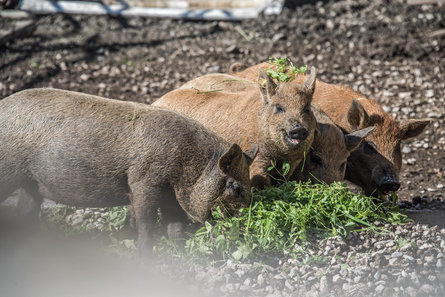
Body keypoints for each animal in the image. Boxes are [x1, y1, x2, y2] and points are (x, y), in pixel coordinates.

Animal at [0, 87, 258, 250]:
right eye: (235, 186)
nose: (247, 217)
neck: (186, 165)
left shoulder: (170, 197)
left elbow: (174, 226)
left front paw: (178, 252)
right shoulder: (143, 183)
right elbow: (146, 223)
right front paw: (143, 254)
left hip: (30, 184)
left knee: (26, 212)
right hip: (8, 174)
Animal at [151, 67, 318, 187]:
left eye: (307, 108)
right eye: (279, 108)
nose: (299, 129)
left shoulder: (293, 163)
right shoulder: (255, 154)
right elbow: (259, 179)